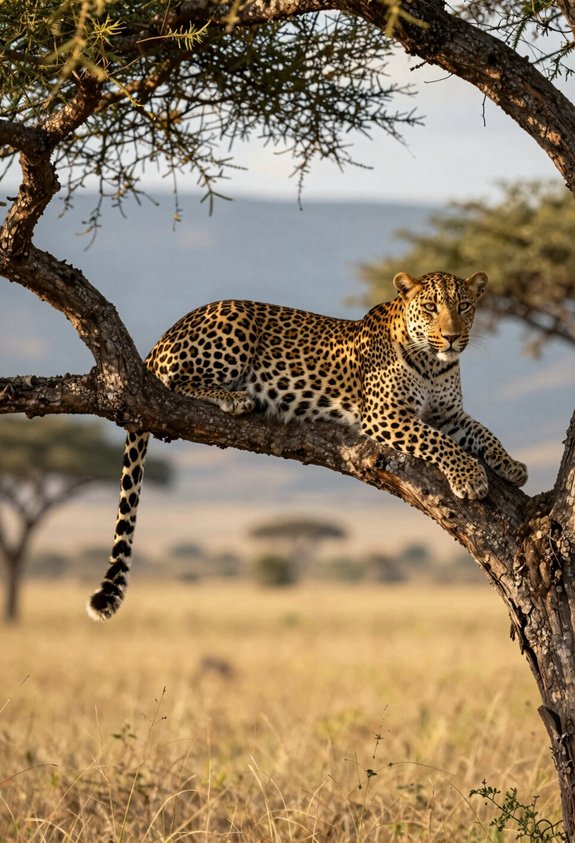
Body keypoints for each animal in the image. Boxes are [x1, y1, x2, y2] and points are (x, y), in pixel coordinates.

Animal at [87, 270, 527, 621]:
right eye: (432, 307)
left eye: (464, 306)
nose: (453, 337)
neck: (435, 364)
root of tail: (162, 338)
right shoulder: (387, 414)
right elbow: (438, 442)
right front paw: (470, 477)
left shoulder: (449, 415)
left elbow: (483, 432)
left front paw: (511, 465)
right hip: (231, 326)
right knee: (176, 383)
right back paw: (238, 398)